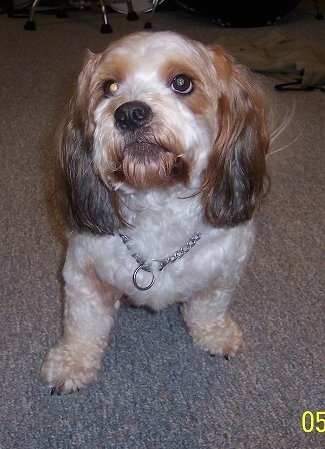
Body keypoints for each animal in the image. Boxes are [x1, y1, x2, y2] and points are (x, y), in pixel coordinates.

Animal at [40, 31, 268, 394]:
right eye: (109, 87)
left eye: (182, 83)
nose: (130, 112)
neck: (158, 205)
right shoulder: (84, 275)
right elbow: (83, 324)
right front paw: (72, 361)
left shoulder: (225, 268)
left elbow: (209, 306)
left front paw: (216, 334)